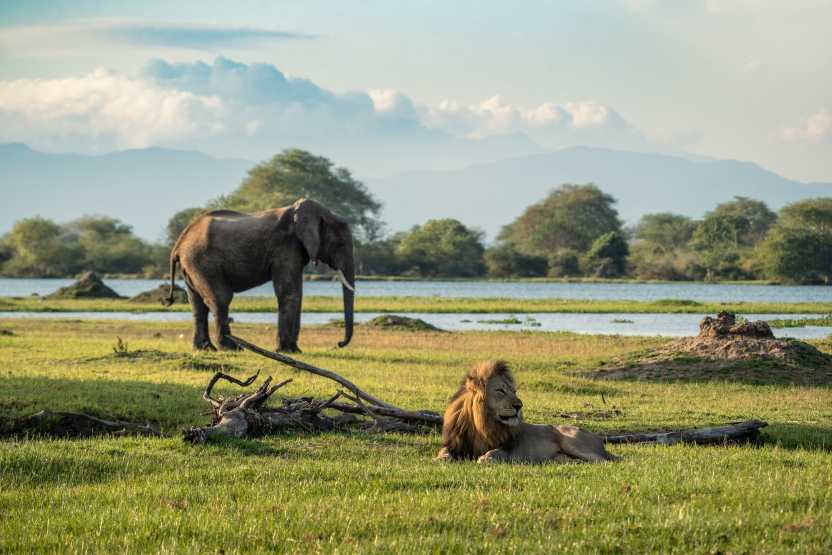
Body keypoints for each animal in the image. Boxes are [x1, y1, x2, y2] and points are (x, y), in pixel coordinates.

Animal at [166, 199, 354, 352]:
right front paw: (286, 351)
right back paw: (232, 348)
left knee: (197, 303)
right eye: (340, 243)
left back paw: (205, 349)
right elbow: (289, 293)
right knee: (221, 298)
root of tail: (178, 244)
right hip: (203, 261)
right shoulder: (285, 247)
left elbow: (297, 294)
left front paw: (295, 350)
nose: (338, 344)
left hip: (191, 265)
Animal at [436, 360, 616, 464]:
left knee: (606, 460)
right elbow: (444, 450)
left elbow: (496, 452)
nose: (519, 405)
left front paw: (486, 458)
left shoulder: (510, 449)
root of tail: (598, 438)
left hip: (571, 441)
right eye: (500, 390)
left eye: (514, 391)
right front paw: (441, 458)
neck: (483, 424)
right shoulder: (455, 443)